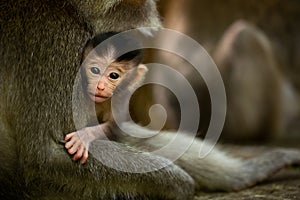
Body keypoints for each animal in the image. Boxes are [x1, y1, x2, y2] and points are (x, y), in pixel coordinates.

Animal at [64, 32, 148, 164]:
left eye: (113, 75)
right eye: (95, 70)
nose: (100, 86)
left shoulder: (120, 99)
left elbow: (114, 128)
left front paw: (84, 136)